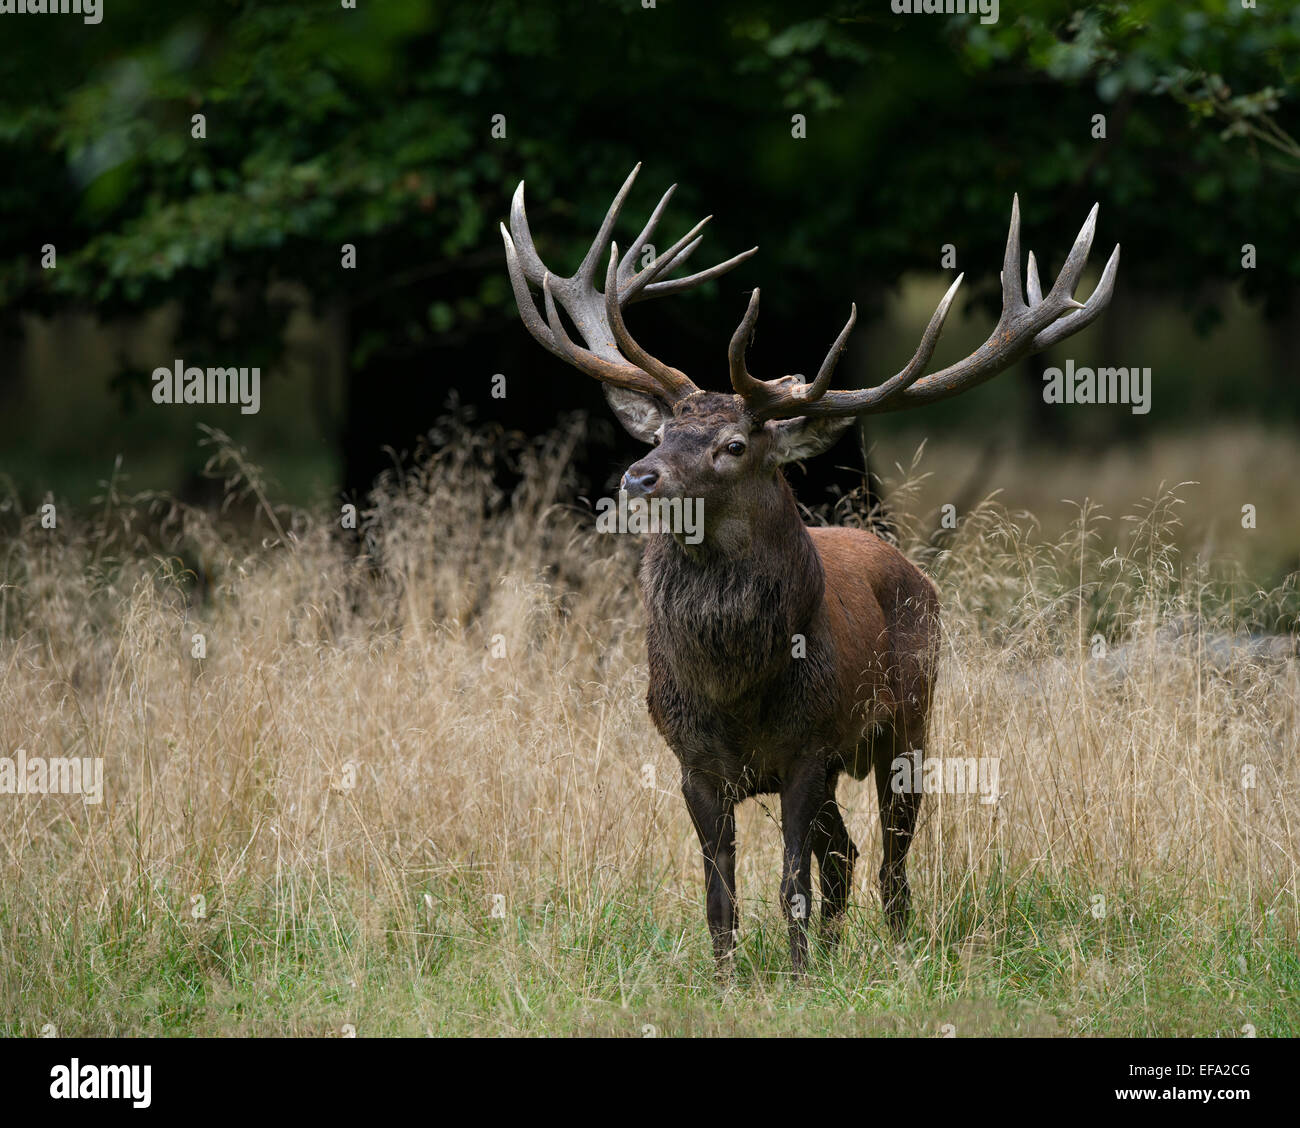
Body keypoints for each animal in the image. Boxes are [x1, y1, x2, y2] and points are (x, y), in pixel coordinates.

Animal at [496, 163, 1118, 972]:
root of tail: (905, 564)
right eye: (661, 432)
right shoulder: (692, 760)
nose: (639, 477)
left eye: (734, 445)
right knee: (845, 855)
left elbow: (791, 876)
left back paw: (892, 946)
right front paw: (730, 978)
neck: (735, 688)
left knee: (889, 855)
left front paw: (795, 976)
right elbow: (720, 889)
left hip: (909, 719)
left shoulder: (808, 747)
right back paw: (835, 943)